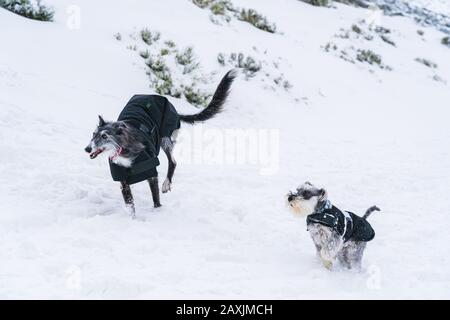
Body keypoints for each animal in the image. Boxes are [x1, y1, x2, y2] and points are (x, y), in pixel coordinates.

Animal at [85, 70, 237, 218]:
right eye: (93, 134)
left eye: (104, 136)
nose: (87, 149)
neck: (125, 151)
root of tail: (175, 110)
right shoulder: (124, 182)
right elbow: (130, 206)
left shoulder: (152, 174)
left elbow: (156, 198)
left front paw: (158, 212)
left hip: (165, 139)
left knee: (173, 162)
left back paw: (166, 184)